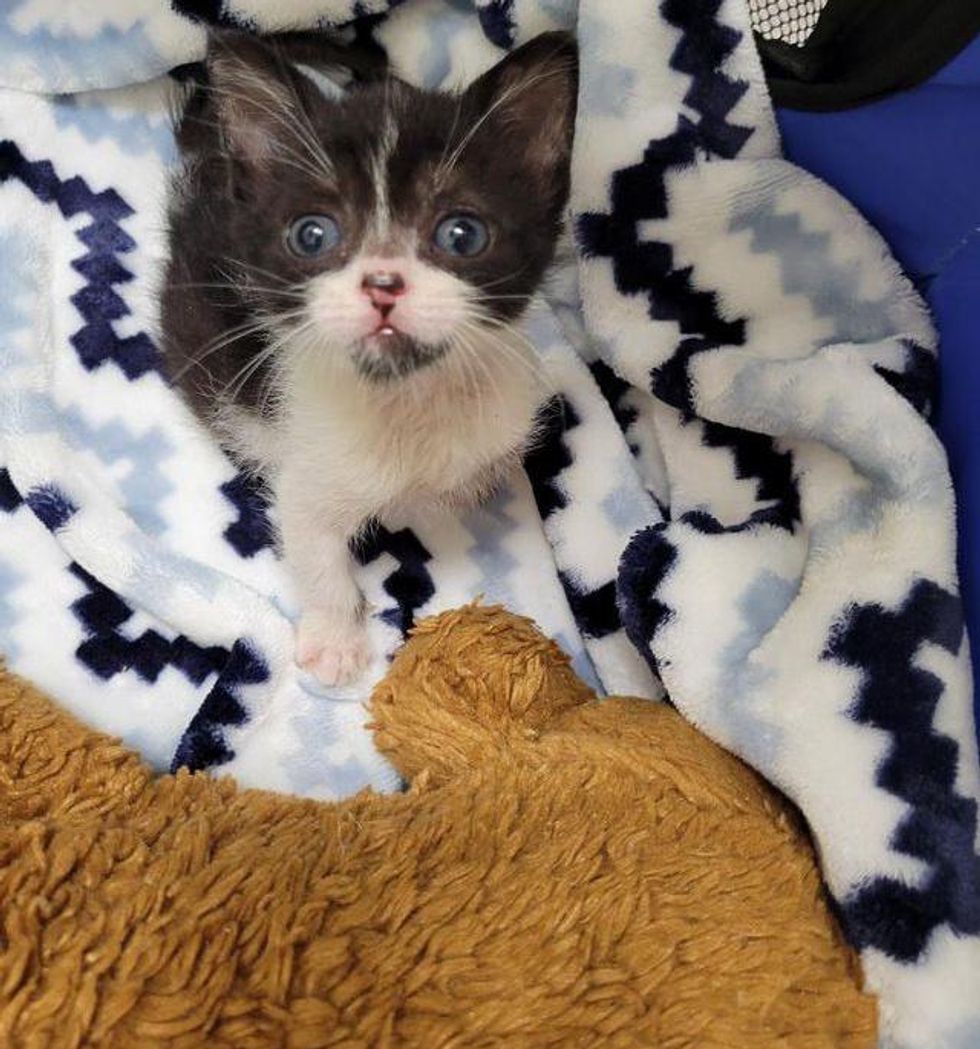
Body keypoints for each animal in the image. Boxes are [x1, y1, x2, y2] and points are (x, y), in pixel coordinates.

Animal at [159, 26, 574, 688]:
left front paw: (480, 480)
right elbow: (314, 546)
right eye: (312, 234)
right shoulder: (305, 458)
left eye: (461, 234)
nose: (383, 283)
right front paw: (335, 641)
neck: (405, 398)